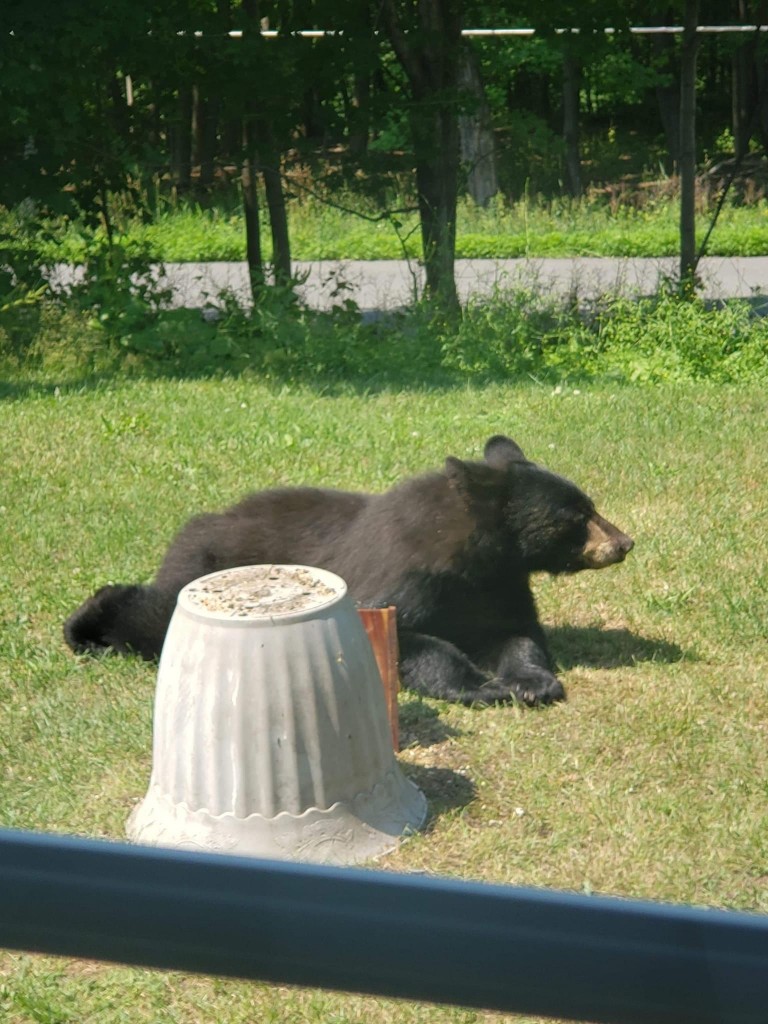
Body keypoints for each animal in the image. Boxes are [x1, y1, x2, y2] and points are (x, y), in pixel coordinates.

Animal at [63, 434, 633, 707]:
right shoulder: (399, 573)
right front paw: (482, 686)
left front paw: (531, 681)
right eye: (576, 516)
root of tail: (203, 519)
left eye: (588, 505)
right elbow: (398, 633)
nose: (624, 542)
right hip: (204, 567)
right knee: (153, 615)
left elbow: (515, 632)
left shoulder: (497, 584)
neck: (474, 556)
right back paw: (84, 626)